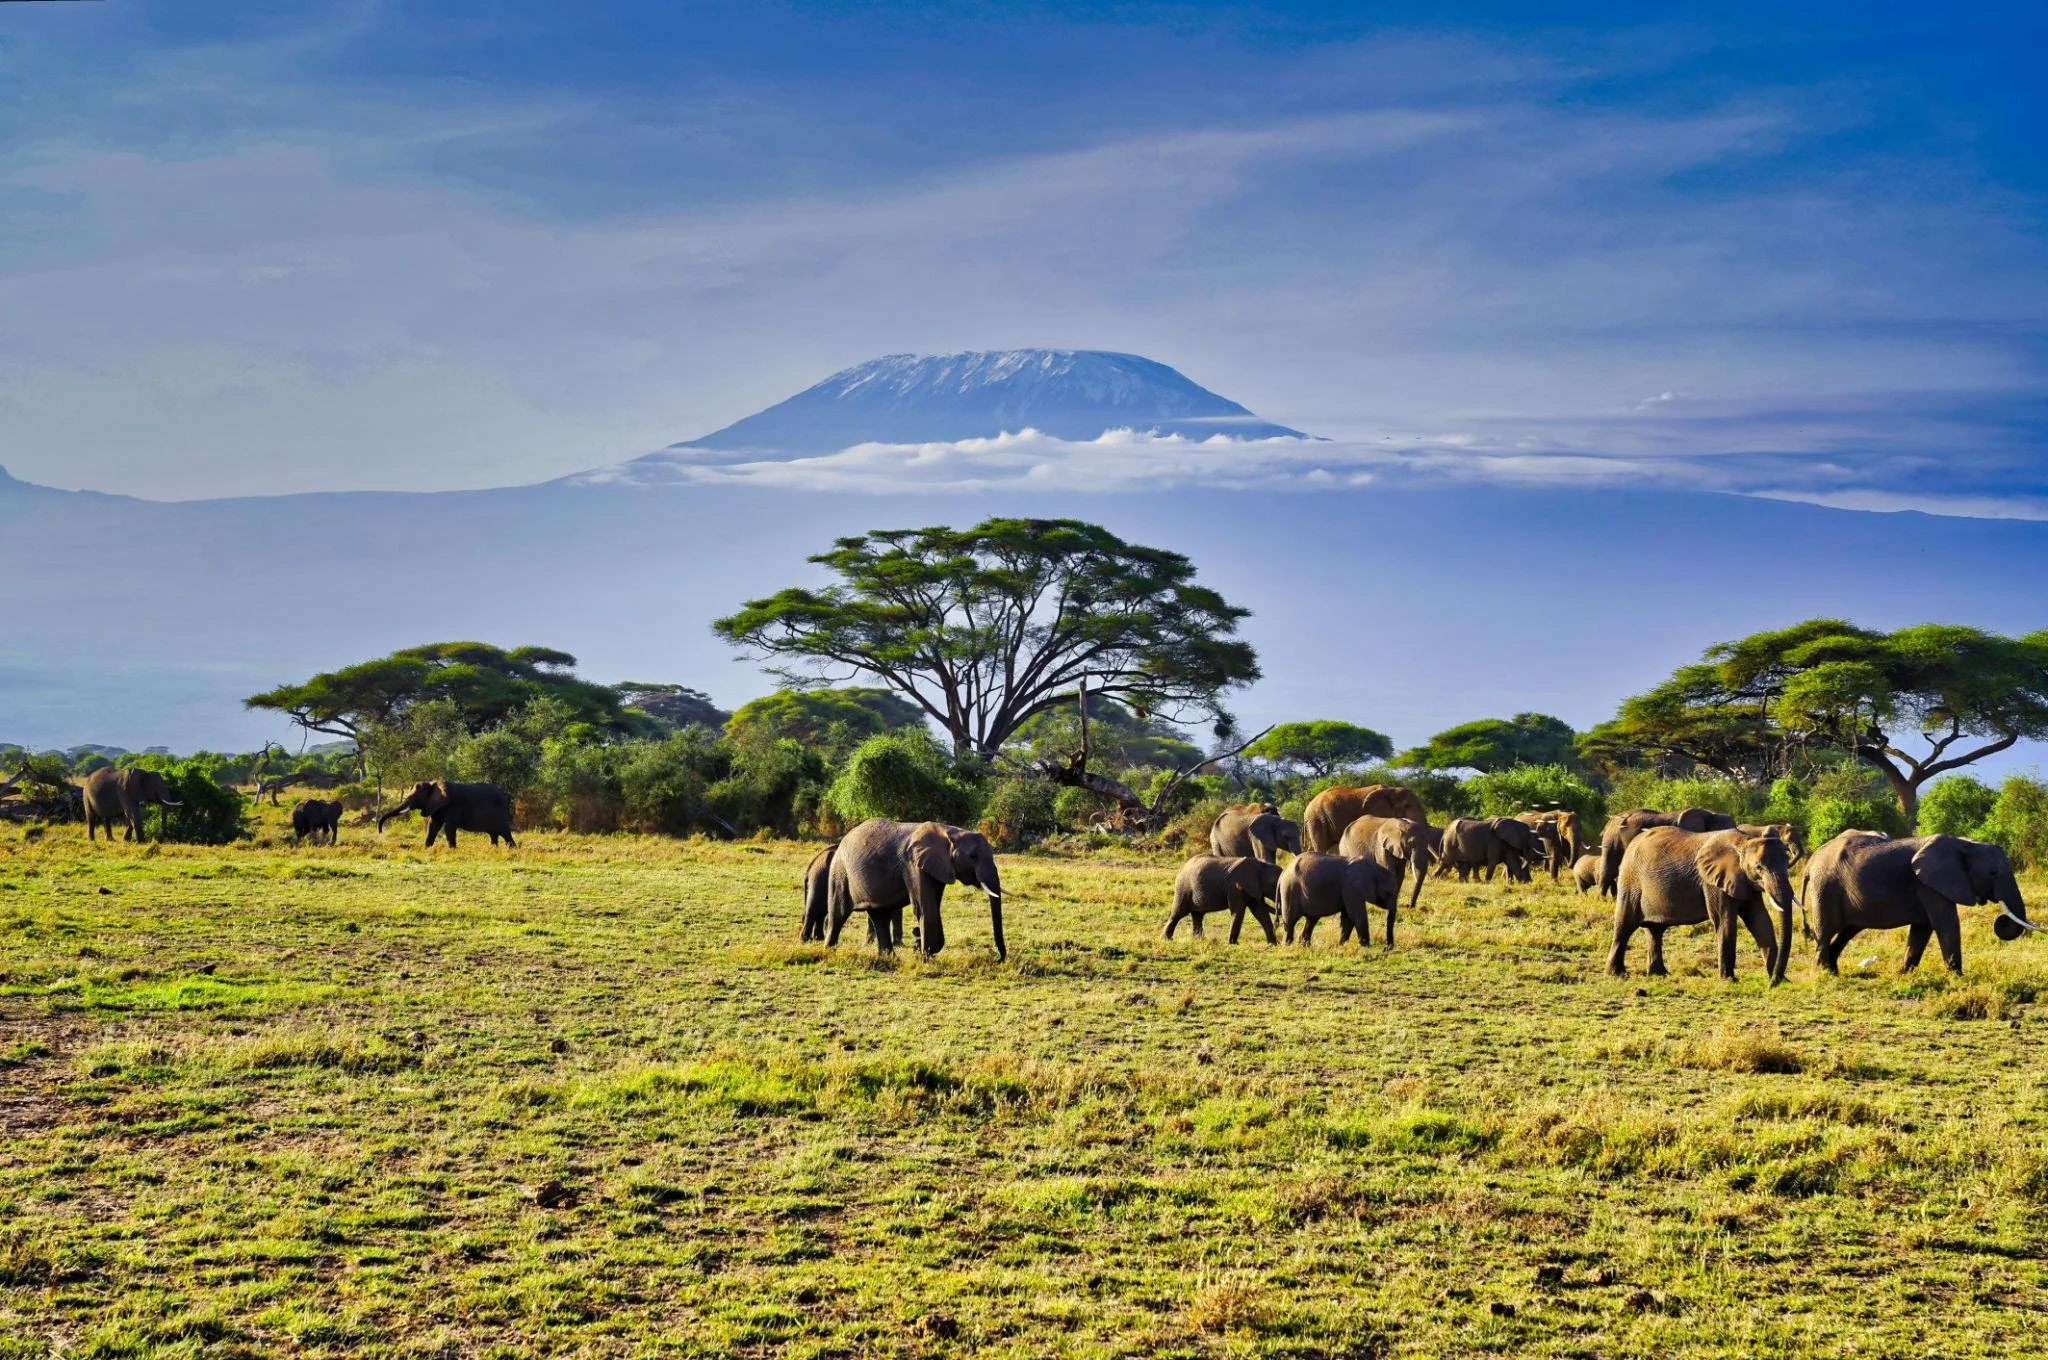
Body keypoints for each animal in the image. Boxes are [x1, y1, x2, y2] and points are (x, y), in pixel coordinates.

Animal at [376, 780, 516, 848]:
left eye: (417, 796)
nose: (380, 832)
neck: (434, 784)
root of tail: (505, 796)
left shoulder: (452, 806)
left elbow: (449, 828)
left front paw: (452, 850)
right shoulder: (435, 807)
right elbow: (432, 826)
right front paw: (427, 848)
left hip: (500, 815)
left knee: (505, 833)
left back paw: (512, 850)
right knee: (493, 834)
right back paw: (494, 849)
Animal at [825, 819, 1005, 960]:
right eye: (973, 857)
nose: (997, 958)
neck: (949, 832)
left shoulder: (938, 867)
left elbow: (934, 907)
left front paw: (923, 950)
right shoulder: (912, 865)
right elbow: (924, 907)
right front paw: (925, 956)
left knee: (879, 916)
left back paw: (890, 958)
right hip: (840, 872)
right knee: (838, 915)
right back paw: (829, 952)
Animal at [1608, 827, 1797, 982]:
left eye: (1787, 864)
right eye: (1759, 868)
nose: (1774, 982)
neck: (1743, 842)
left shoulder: (1746, 882)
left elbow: (1760, 921)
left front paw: (1782, 981)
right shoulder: (1712, 883)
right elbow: (1725, 922)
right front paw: (1729, 981)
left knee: (1655, 930)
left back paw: (1659, 974)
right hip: (1630, 881)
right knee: (1625, 925)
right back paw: (1617, 975)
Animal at [1805, 831, 2042, 975]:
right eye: (1992, 873)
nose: (2001, 920)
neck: (1965, 844)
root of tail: (1812, 860)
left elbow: (1922, 929)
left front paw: (1904, 974)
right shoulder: (1930, 885)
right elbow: (1946, 924)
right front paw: (1958, 978)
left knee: (1847, 931)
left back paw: (1833, 972)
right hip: (1825, 888)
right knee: (1826, 930)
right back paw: (1824, 973)